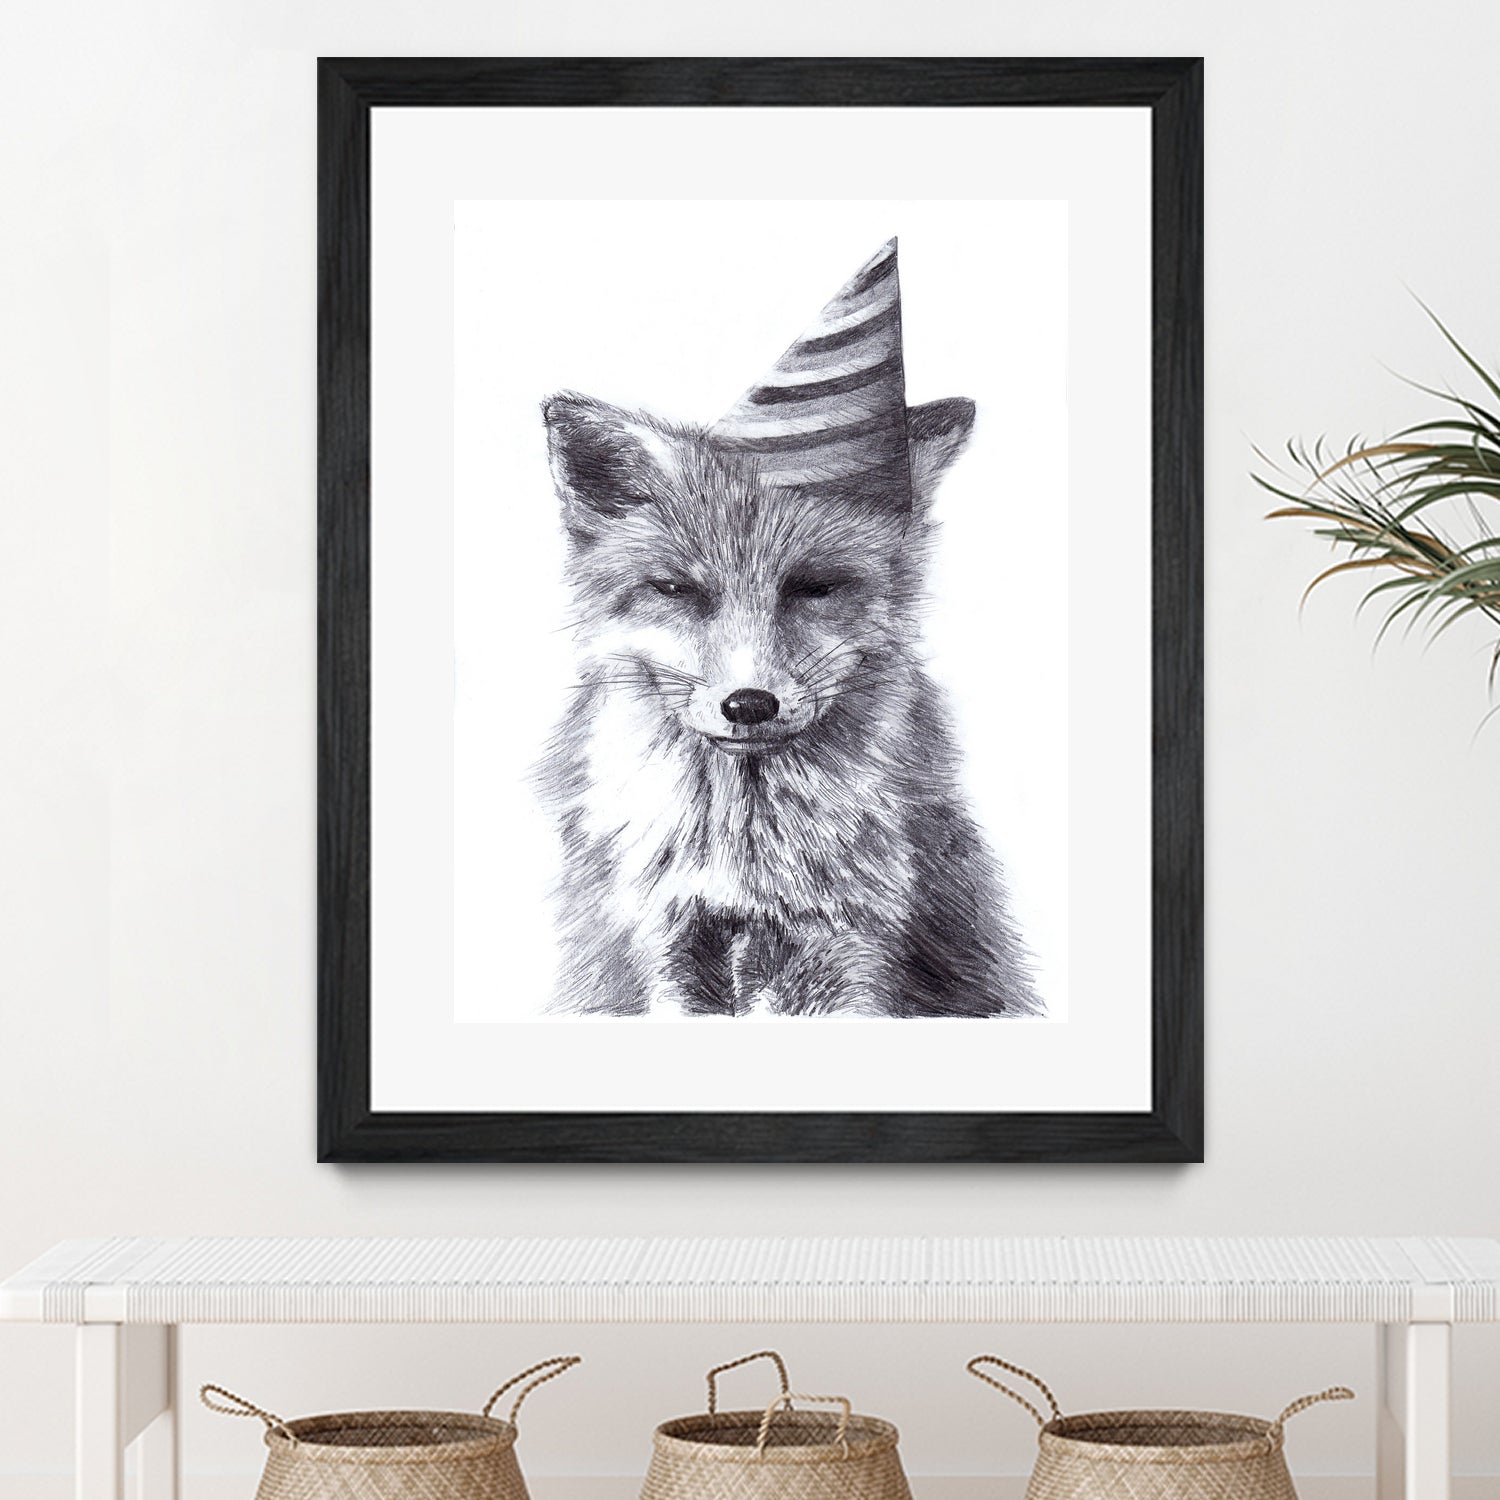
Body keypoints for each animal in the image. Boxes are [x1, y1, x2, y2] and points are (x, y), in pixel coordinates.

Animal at [532, 387, 1041, 1019]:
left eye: (814, 587)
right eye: (676, 590)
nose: (749, 704)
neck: (747, 861)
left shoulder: (853, 945)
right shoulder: (664, 944)